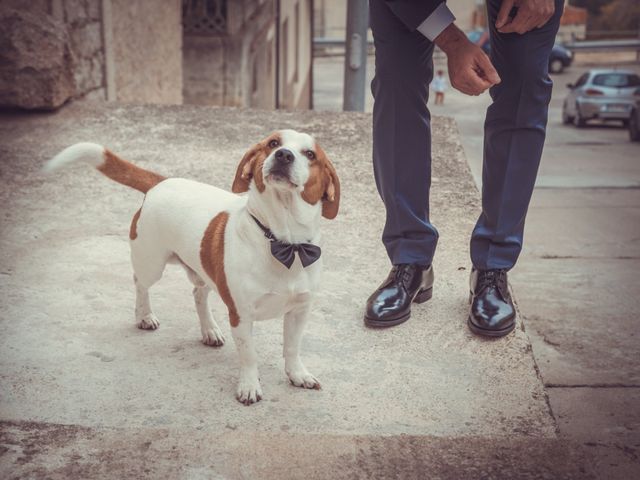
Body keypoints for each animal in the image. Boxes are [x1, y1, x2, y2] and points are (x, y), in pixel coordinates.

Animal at [45, 130, 340, 404]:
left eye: (310, 154)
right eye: (273, 144)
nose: (283, 156)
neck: (285, 244)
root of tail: (162, 182)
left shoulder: (299, 311)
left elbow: (292, 348)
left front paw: (297, 374)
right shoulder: (241, 315)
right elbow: (249, 355)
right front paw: (249, 386)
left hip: (204, 271)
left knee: (198, 294)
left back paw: (209, 330)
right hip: (151, 264)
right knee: (140, 284)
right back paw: (144, 315)